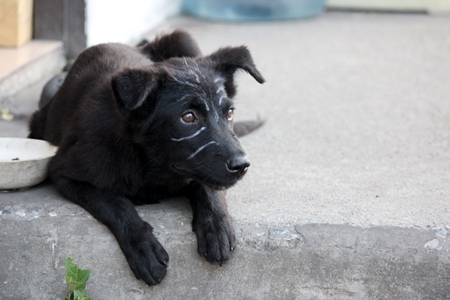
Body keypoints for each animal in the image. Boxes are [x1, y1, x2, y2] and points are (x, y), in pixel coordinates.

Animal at [28, 31, 264, 286]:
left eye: (229, 113)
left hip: (184, 38)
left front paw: (216, 227)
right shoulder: (64, 173)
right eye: (188, 117)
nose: (242, 165)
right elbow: (115, 203)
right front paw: (142, 246)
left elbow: (207, 187)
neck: (150, 164)